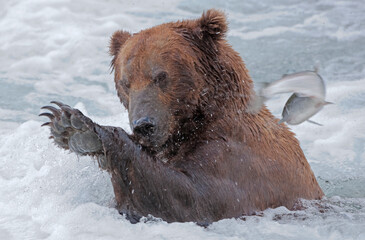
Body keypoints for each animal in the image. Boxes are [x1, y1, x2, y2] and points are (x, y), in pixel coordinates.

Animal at [41, 9, 322, 225]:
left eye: (160, 76)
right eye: (125, 82)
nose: (144, 125)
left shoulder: (240, 160)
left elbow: (190, 199)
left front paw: (80, 128)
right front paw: (65, 129)